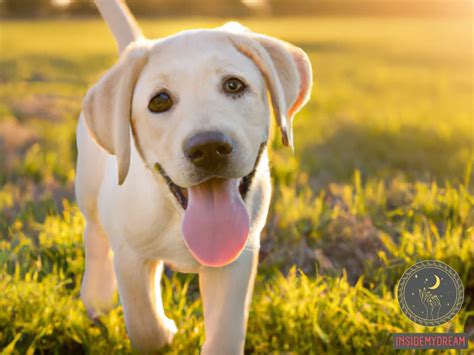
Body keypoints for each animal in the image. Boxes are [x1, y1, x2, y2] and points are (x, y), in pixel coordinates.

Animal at [77, 0, 312, 352]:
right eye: (160, 101)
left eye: (234, 85)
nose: (209, 147)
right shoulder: (130, 257)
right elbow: (145, 326)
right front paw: (164, 332)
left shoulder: (238, 258)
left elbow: (225, 334)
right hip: (88, 188)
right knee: (94, 233)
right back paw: (97, 295)